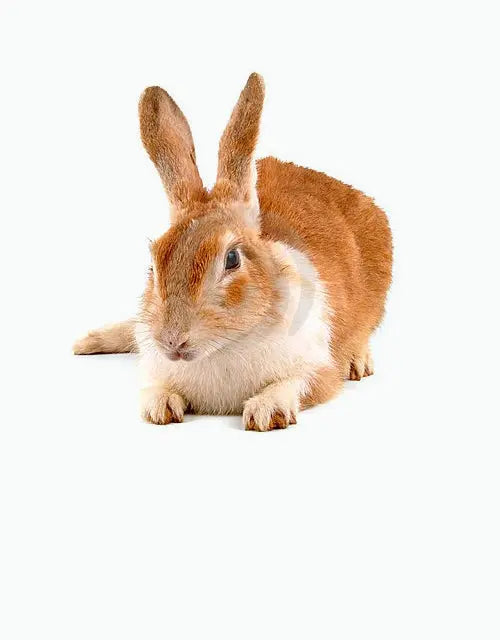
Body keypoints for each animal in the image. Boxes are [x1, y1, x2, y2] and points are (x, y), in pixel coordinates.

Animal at [74, 73, 392, 431]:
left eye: (232, 259)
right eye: (154, 264)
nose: (172, 341)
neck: (224, 345)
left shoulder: (318, 370)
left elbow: (298, 383)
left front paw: (267, 410)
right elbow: (156, 388)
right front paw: (159, 407)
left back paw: (359, 362)